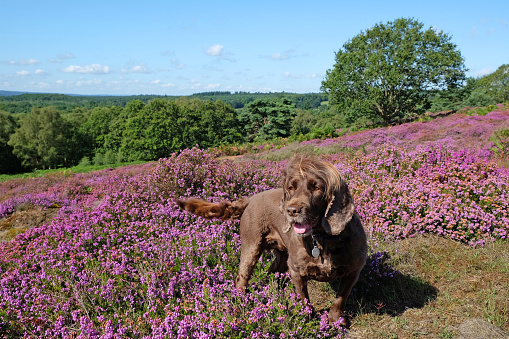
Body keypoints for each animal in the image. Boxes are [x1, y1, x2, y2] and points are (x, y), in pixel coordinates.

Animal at [178, 155, 366, 326]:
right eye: (291, 188)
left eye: (317, 188)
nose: (291, 210)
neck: (323, 239)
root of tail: (250, 199)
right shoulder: (296, 270)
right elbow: (304, 297)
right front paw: (307, 316)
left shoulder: (353, 271)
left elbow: (340, 298)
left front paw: (336, 320)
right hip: (251, 247)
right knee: (241, 278)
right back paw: (241, 303)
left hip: (281, 256)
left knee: (271, 273)